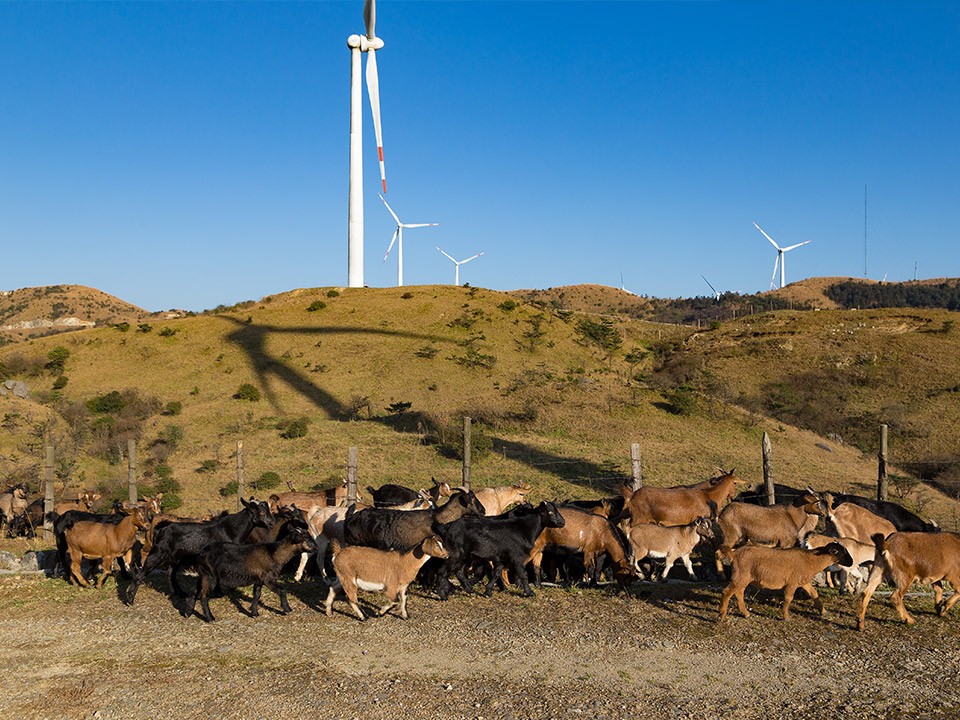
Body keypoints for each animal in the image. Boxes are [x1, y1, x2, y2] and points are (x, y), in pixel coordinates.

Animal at [124, 496, 274, 608]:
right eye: (260, 512)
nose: (272, 523)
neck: (231, 530)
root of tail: (161, 528)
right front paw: (219, 592)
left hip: (177, 558)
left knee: (170, 574)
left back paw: (181, 593)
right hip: (157, 553)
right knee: (141, 574)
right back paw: (129, 599)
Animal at [436, 498, 568, 600]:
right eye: (550, 512)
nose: (563, 522)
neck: (524, 529)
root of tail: (447, 527)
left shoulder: (501, 558)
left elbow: (496, 573)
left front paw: (488, 591)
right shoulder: (517, 557)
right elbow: (523, 574)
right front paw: (530, 593)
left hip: (466, 556)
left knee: (459, 572)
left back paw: (470, 590)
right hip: (455, 554)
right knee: (442, 571)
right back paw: (442, 595)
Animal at [716, 544, 852, 620]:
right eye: (841, 552)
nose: (851, 562)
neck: (811, 560)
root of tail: (734, 554)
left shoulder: (803, 582)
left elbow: (814, 594)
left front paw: (823, 611)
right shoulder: (792, 583)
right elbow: (788, 598)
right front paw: (786, 617)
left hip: (744, 578)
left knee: (738, 593)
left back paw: (745, 614)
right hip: (740, 577)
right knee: (727, 592)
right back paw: (722, 616)